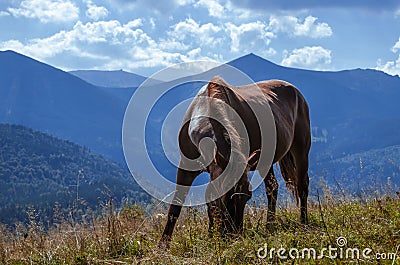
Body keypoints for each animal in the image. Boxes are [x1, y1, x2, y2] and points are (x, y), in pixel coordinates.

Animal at [158, 77, 310, 248]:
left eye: (247, 196)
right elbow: (177, 206)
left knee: (302, 186)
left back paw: (303, 223)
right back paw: (269, 226)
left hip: (300, 150)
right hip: (264, 160)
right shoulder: (186, 169)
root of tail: (296, 92)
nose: (234, 236)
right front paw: (164, 245)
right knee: (272, 187)